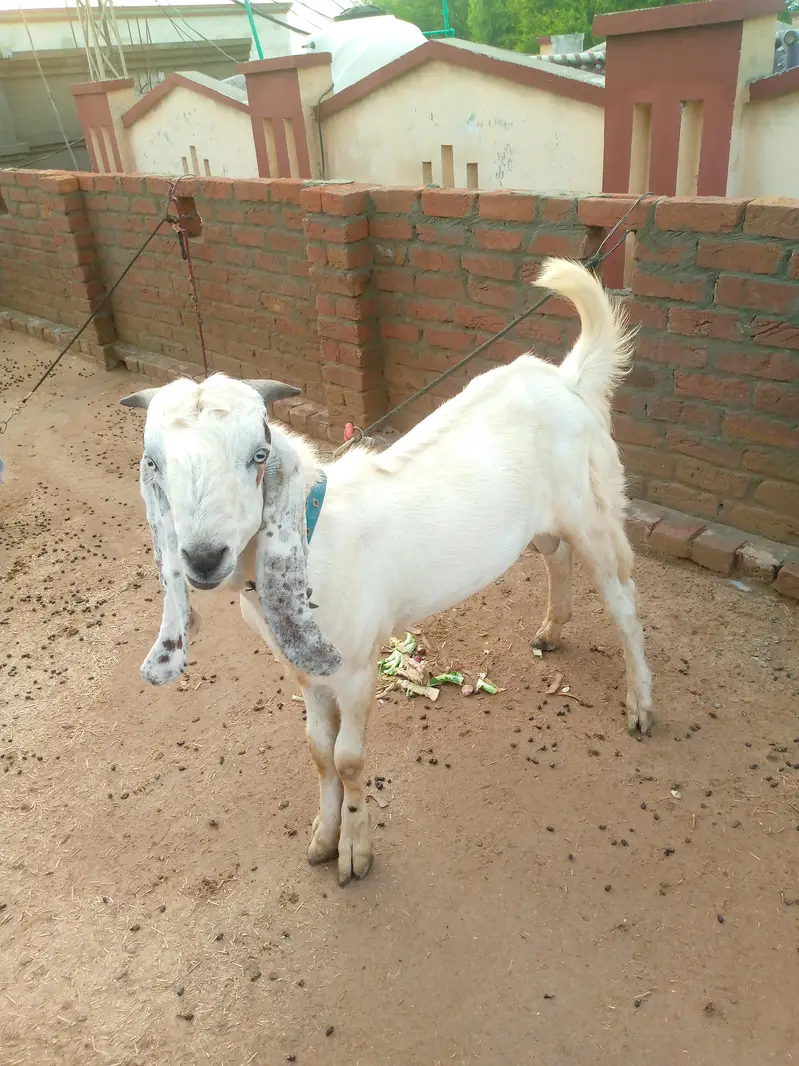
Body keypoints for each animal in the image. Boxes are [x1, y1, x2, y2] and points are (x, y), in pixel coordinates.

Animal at [121, 257, 653, 886]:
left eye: (258, 454)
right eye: (153, 462)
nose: (204, 557)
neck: (314, 536)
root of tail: (568, 380)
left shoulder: (355, 667)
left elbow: (349, 760)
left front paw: (355, 853)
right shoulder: (306, 672)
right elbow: (317, 751)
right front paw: (322, 838)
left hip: (594, 509)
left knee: (623, 598)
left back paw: (640, 706)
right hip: (546, 522)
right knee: (555, 555)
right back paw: (551, 630)